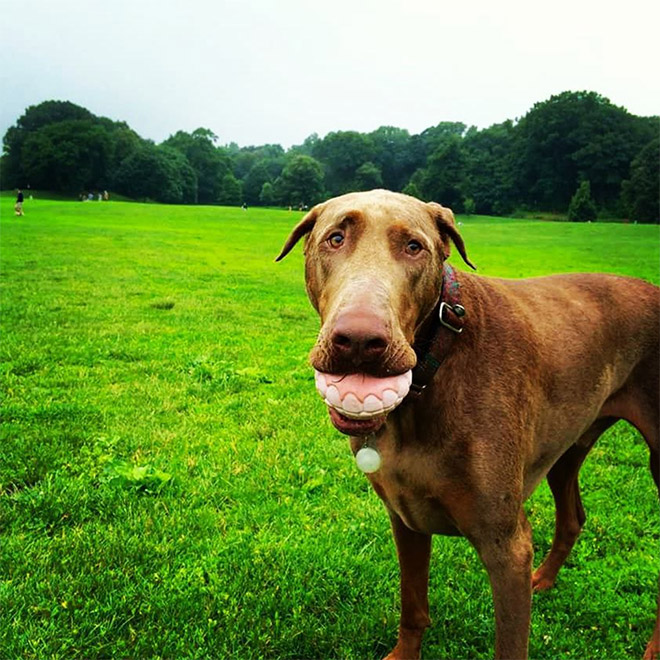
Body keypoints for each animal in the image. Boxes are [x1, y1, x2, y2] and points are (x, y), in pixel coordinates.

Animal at [276, 191, 656, 660]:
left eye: (414, 247)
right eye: (335, 238)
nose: (361, 342)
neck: (433, 369)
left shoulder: (507, 545)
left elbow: (510, 643)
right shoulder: (405, 517)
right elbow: (412, 605)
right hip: (570, 442)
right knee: (572, 517)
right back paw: (546, 580)